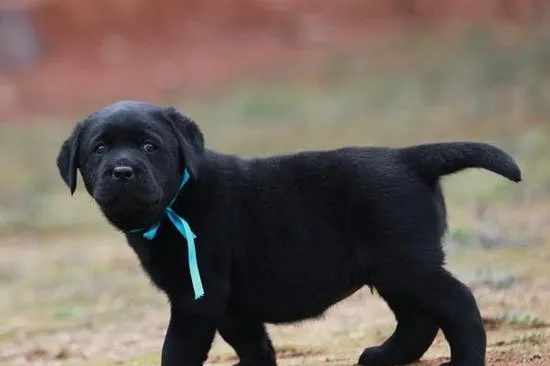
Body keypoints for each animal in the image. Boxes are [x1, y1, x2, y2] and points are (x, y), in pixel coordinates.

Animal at [58, 100, 524, 366]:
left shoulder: (197, 300)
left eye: (149, 145)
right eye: (100, 148)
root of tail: (409, 158)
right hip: (394, 267)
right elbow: (255, 348)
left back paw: (462, 361)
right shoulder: (232, 308)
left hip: (406, 262)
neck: (179, 198)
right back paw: (381, 357)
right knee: (417, 320)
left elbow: (176, 351)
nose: (122, 171)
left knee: (457, 304)